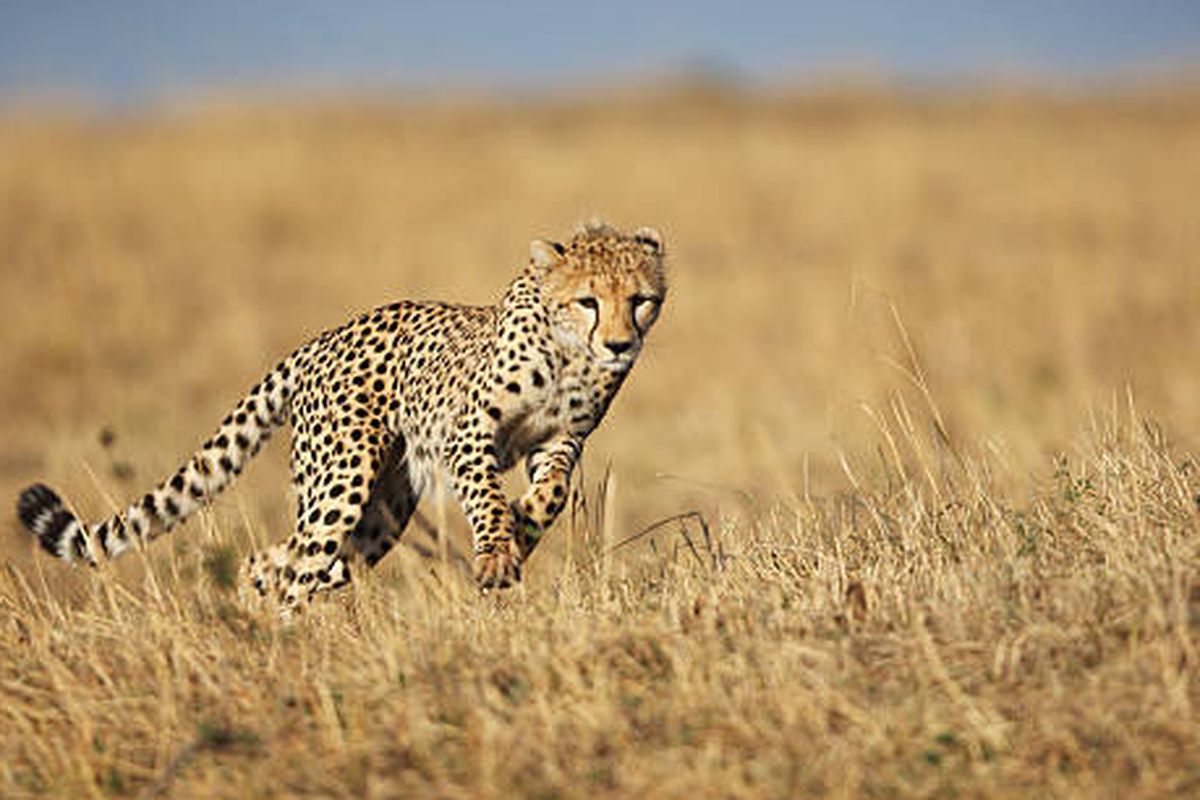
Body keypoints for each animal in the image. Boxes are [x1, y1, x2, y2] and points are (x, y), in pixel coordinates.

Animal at [16, 220, 666, 611]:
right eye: (588, 301)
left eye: (641, 300)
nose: (619, 344)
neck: (569, 354)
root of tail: (317, 341)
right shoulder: (470, 432)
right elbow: (484, 494)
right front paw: (496, 548)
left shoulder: (560, 440)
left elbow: (550, 493)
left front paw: (520, 529)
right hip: (343, 480)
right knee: (298, 566)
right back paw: (285, 646)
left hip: (380, 513)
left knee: (275, 562)